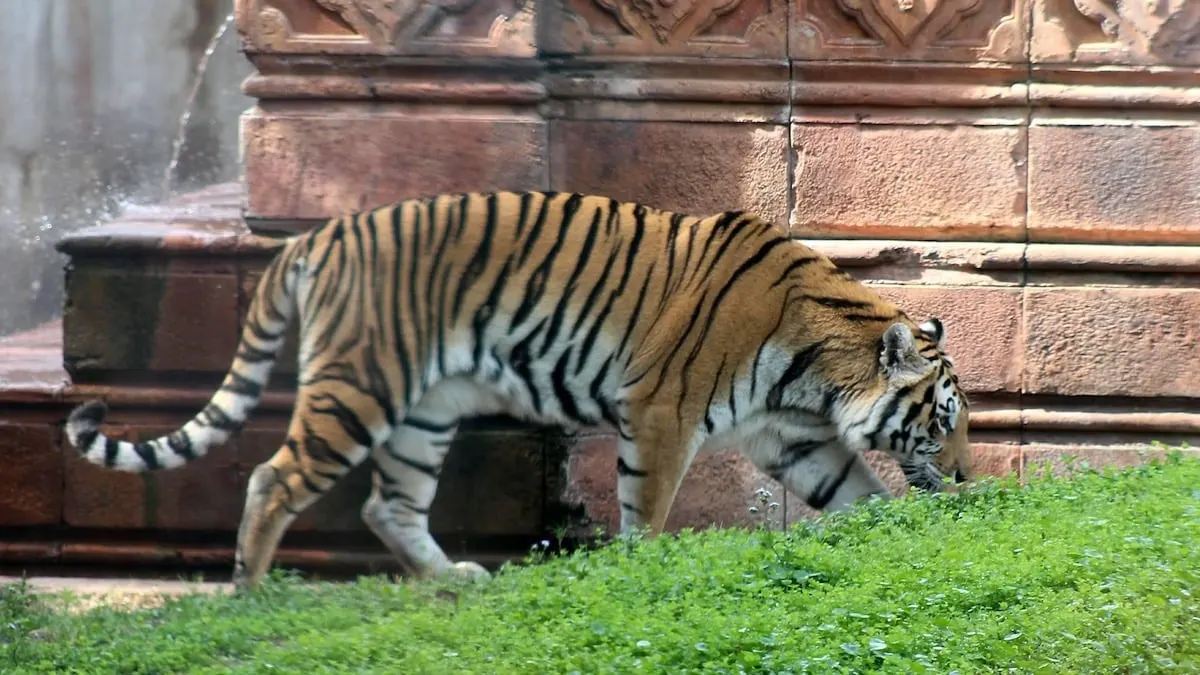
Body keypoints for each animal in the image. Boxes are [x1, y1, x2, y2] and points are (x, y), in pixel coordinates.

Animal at [60, 189, 969, 588]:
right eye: (943, 418)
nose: (965, 478)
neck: (818, 370)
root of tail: (316, 237)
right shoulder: (662, 412)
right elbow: (646, 509)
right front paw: (639, 571)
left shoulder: (792, 436)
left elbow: (857, 494)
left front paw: (898, 539)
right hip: (360, 386)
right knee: (271, 477)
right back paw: (248, 593)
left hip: (424, 411)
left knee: (387, 504)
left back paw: (454, 580)